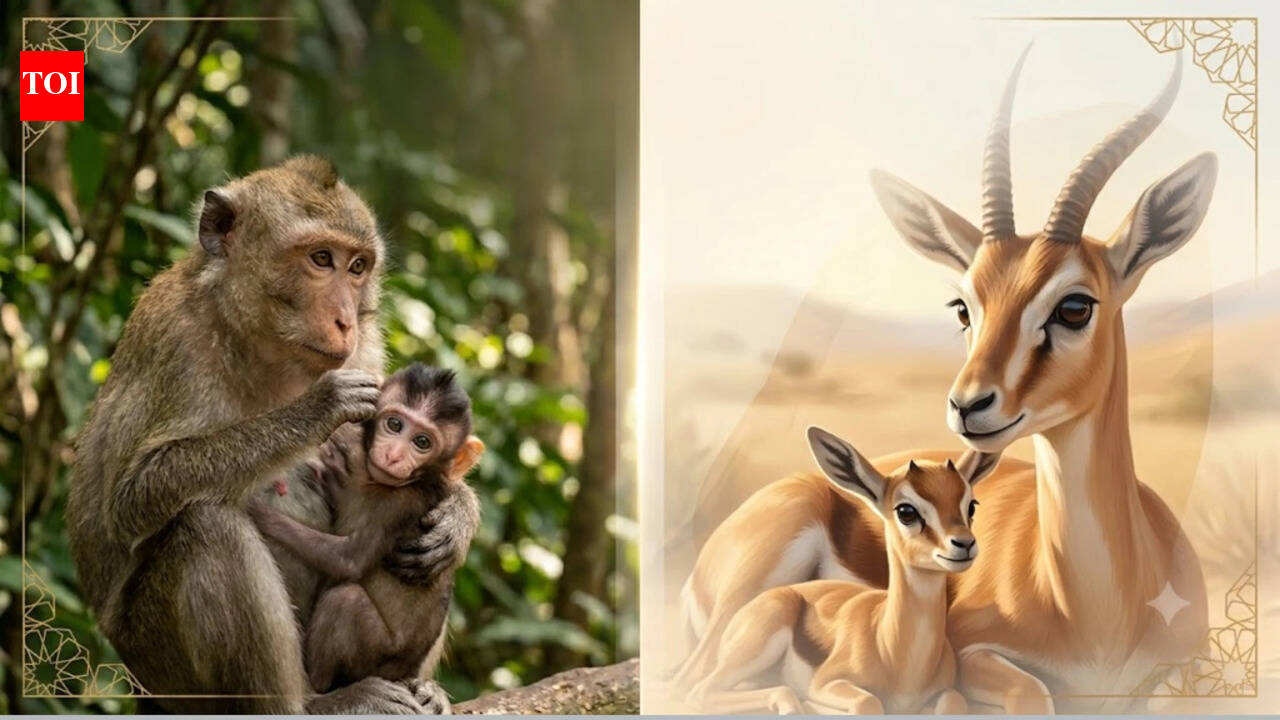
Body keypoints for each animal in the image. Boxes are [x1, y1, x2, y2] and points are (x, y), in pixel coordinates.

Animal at [249, 363, 483, 698]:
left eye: (422, 442)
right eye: (395, 424)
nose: (394, 455)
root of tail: (403, 673)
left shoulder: (397, 506)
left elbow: (350, 559)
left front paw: (257, 511)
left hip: (377, 657)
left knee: (345, 599)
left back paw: (320, 687)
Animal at [690, 427, 999, 715]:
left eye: (971, 505)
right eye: (906, 511)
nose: (964, 544)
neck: (895, 653)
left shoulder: (946, 691)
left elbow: (956, 701)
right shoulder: (826, 683)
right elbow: (868, 702)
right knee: (698, 690)